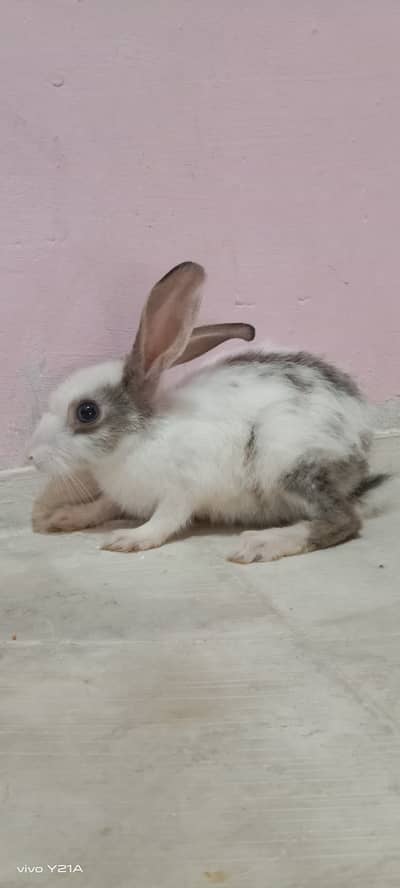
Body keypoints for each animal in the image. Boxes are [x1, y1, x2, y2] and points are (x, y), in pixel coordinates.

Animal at [29, 260, 389, 563]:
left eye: (87, 412)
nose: (31, 457)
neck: (139, 438)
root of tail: (361, 434)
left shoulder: (182, 490)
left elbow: (165, 520)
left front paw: (129, 538)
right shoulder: (121, 496)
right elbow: (104, 505)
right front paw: (64, 517)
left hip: (287, 457)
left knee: (342, 520)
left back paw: (261, 543)